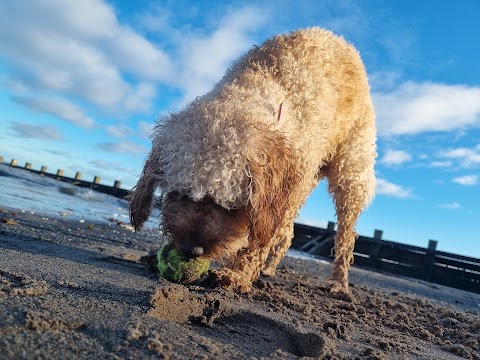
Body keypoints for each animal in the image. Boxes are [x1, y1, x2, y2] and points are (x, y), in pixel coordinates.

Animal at [129, 27, 376, 292]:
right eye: (179, 194)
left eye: (230, 207)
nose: (191, 249)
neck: (254, 90)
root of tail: (341, 40)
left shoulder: (274, 199)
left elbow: (258, 240)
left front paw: (236, 274)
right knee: (287, 233)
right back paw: (269, 269)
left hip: (351, 175)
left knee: (345, 237)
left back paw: (339, 283)